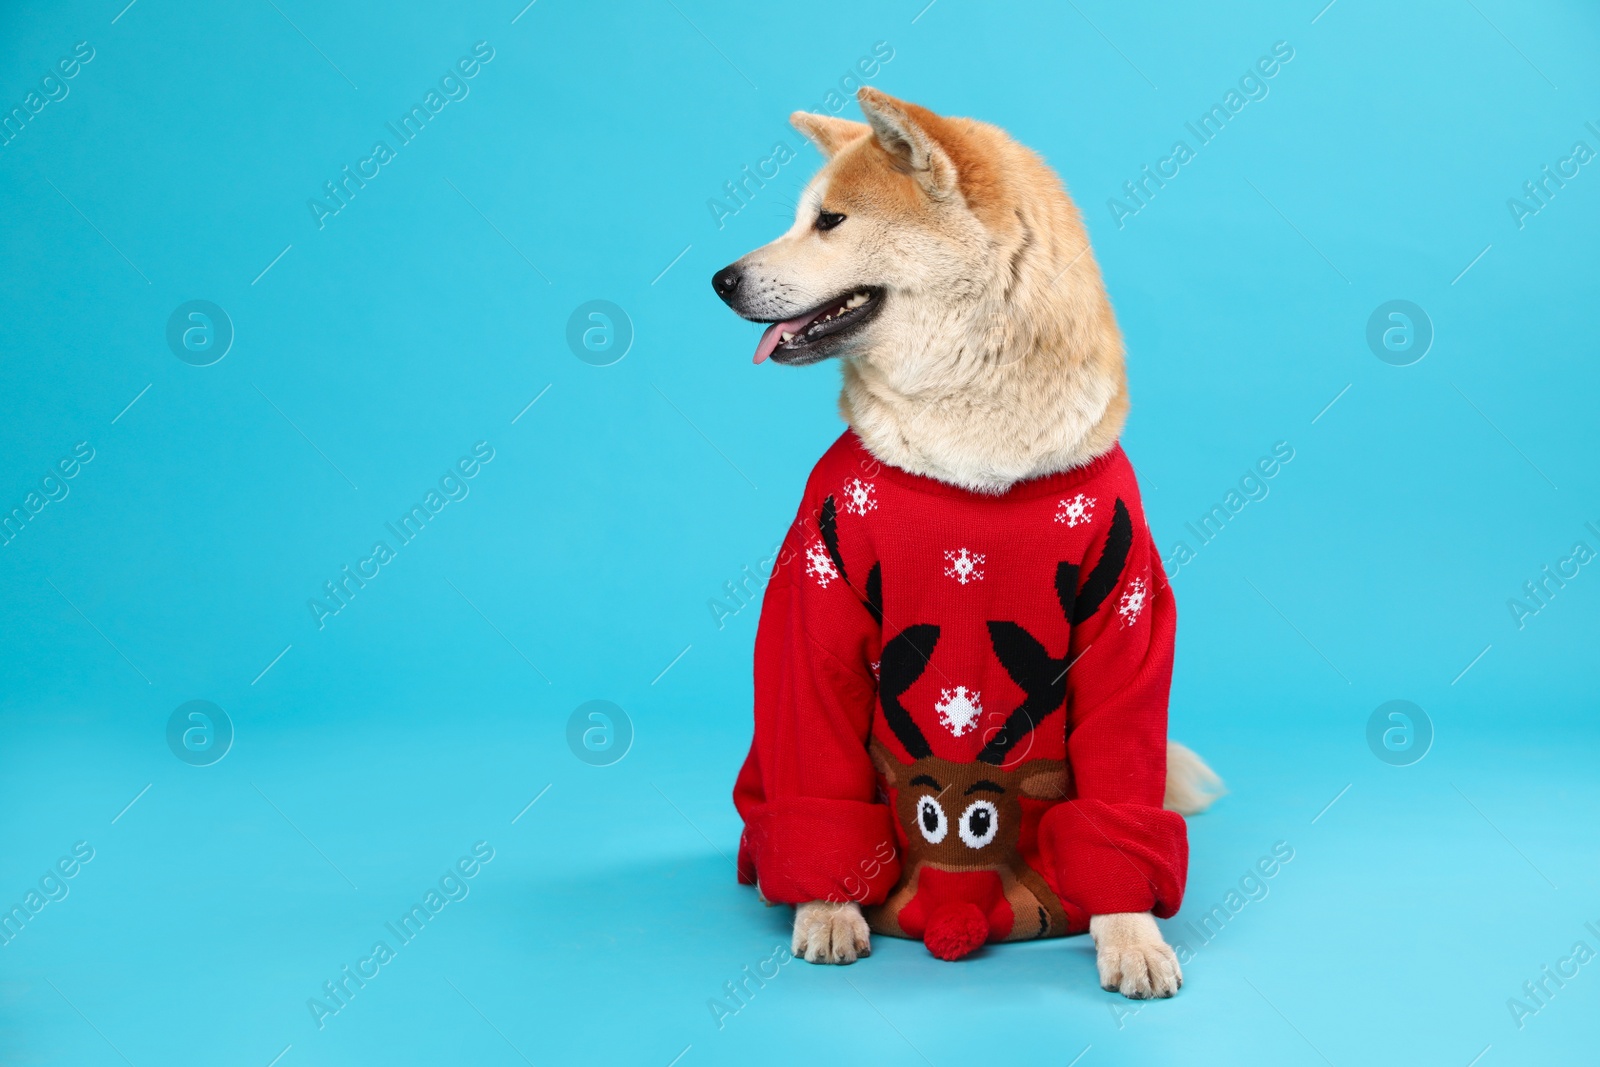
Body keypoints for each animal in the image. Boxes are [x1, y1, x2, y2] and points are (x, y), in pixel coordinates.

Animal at [707, 87, 1216, 998]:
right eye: (804, 216)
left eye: (830, 220)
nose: (720, 279)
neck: (975, 464)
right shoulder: (817, 593)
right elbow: (821, 776)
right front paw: (829, 906)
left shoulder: (1124, 608)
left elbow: (1121, 794)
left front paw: (1131, 929)